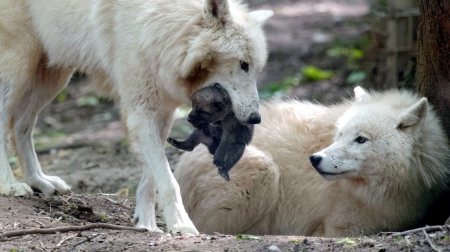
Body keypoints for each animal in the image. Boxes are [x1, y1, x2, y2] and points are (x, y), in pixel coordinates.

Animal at [0, 0, 272, 234]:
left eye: (256, 69)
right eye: (243, 65)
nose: (255, 118)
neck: (163, 28)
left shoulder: (162, 113)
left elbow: (151, 178)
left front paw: (146, 224)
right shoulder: (140, 113)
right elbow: (169, 181)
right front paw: (181, 225)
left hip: (54, 77)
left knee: (21, 126)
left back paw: (39, 181)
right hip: (19, 68)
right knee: (5, 122)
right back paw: (10, 185)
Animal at [173, 87, 450, 236]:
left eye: (361, 139)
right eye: (341, 135)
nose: (315, 159)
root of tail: (177, 170)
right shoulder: (341, 227)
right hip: (263, 170)